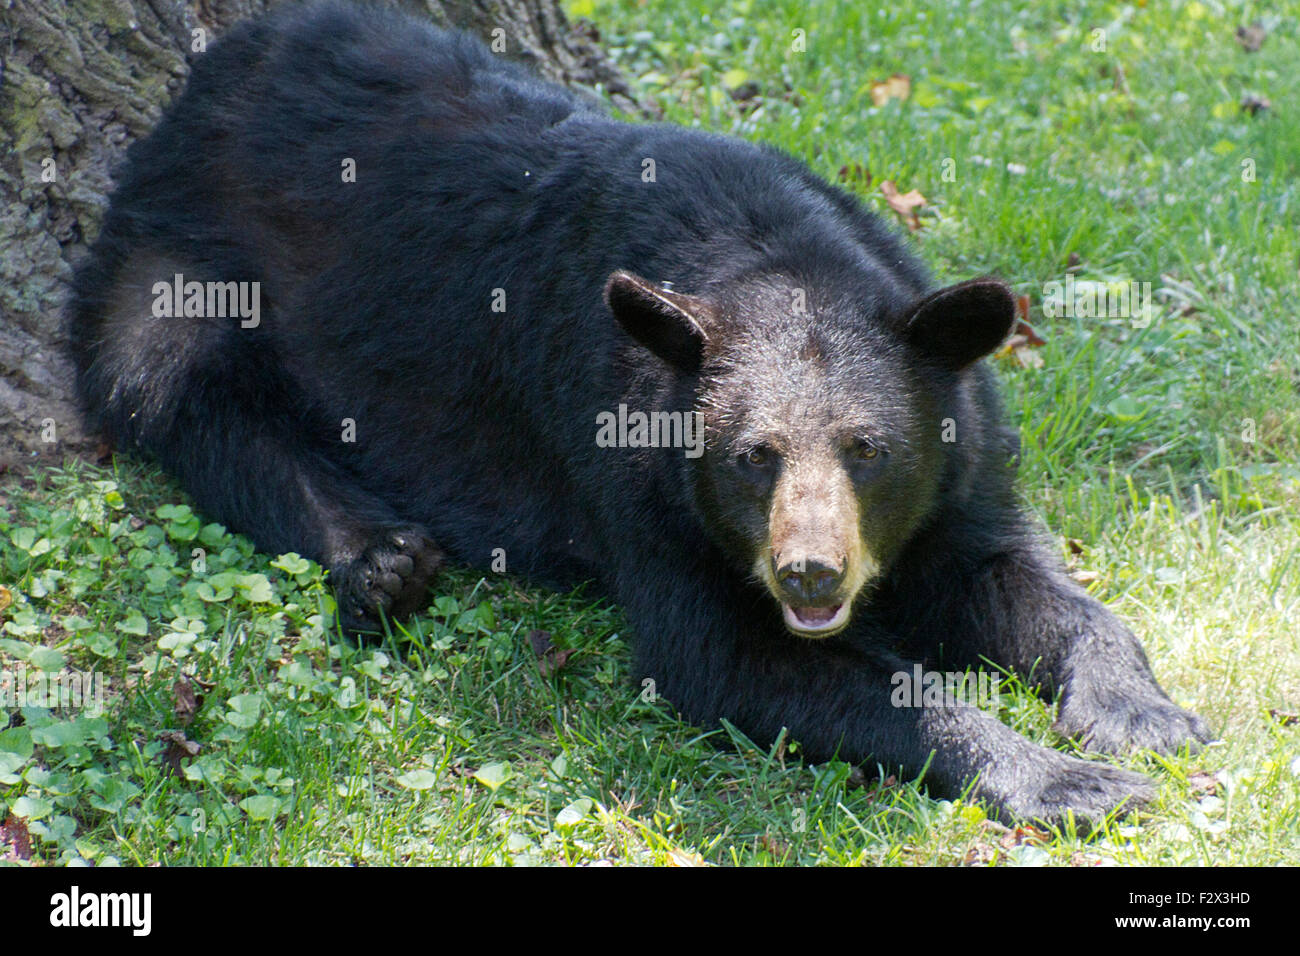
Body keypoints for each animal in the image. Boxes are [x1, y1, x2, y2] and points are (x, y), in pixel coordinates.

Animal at [67, 0, 1209, 824]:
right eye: (752, 455)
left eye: (868, 448)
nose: (809, 572)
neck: (773, 259)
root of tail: (201, 82)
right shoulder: (629, 471)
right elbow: (720, 654)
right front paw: (1064, 780)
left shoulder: (958, 449)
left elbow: (1017, 575)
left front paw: (1142, 717)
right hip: (179, 261)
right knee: (180, 395)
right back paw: (379, 556)